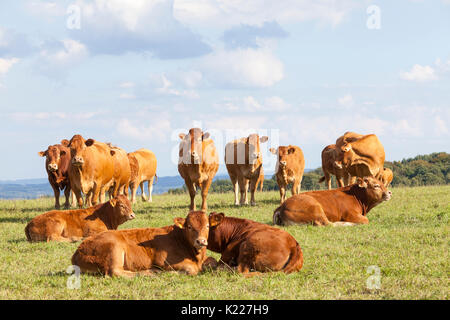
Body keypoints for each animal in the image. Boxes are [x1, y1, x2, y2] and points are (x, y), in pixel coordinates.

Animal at [70, 210, 221, 278]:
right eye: (189, 226)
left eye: (207, 226)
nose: (201, 241)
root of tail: (78, 250)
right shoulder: (163, 261)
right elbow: (191, 269)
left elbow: (213, 261)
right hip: (115, 248)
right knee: (115, 272)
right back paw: (151, 272)